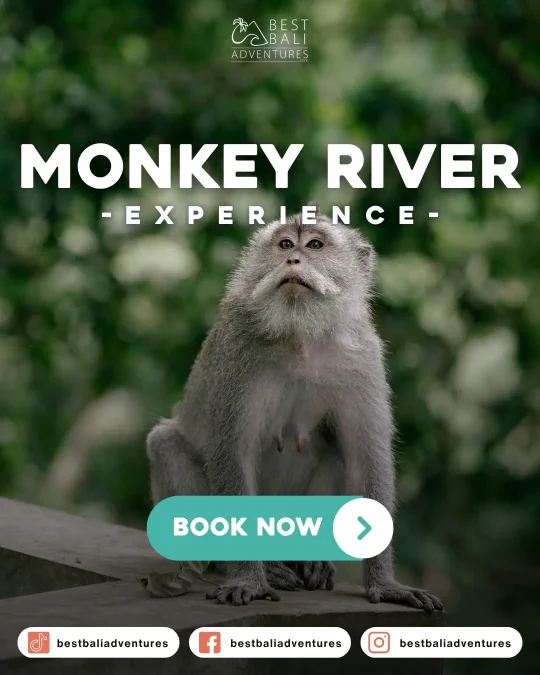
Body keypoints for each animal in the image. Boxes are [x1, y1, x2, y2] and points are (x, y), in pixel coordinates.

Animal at [146, 208, 443, 612]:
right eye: (285, 244)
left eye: (314, 245)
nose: (293, 260)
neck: (300, 334)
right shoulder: (237, 354)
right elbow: (232, 453)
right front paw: (250, 579)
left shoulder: (362, 357)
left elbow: (367, 459)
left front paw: (386, 583)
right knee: (165, 444)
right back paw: (254, 566)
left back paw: (308, 559)